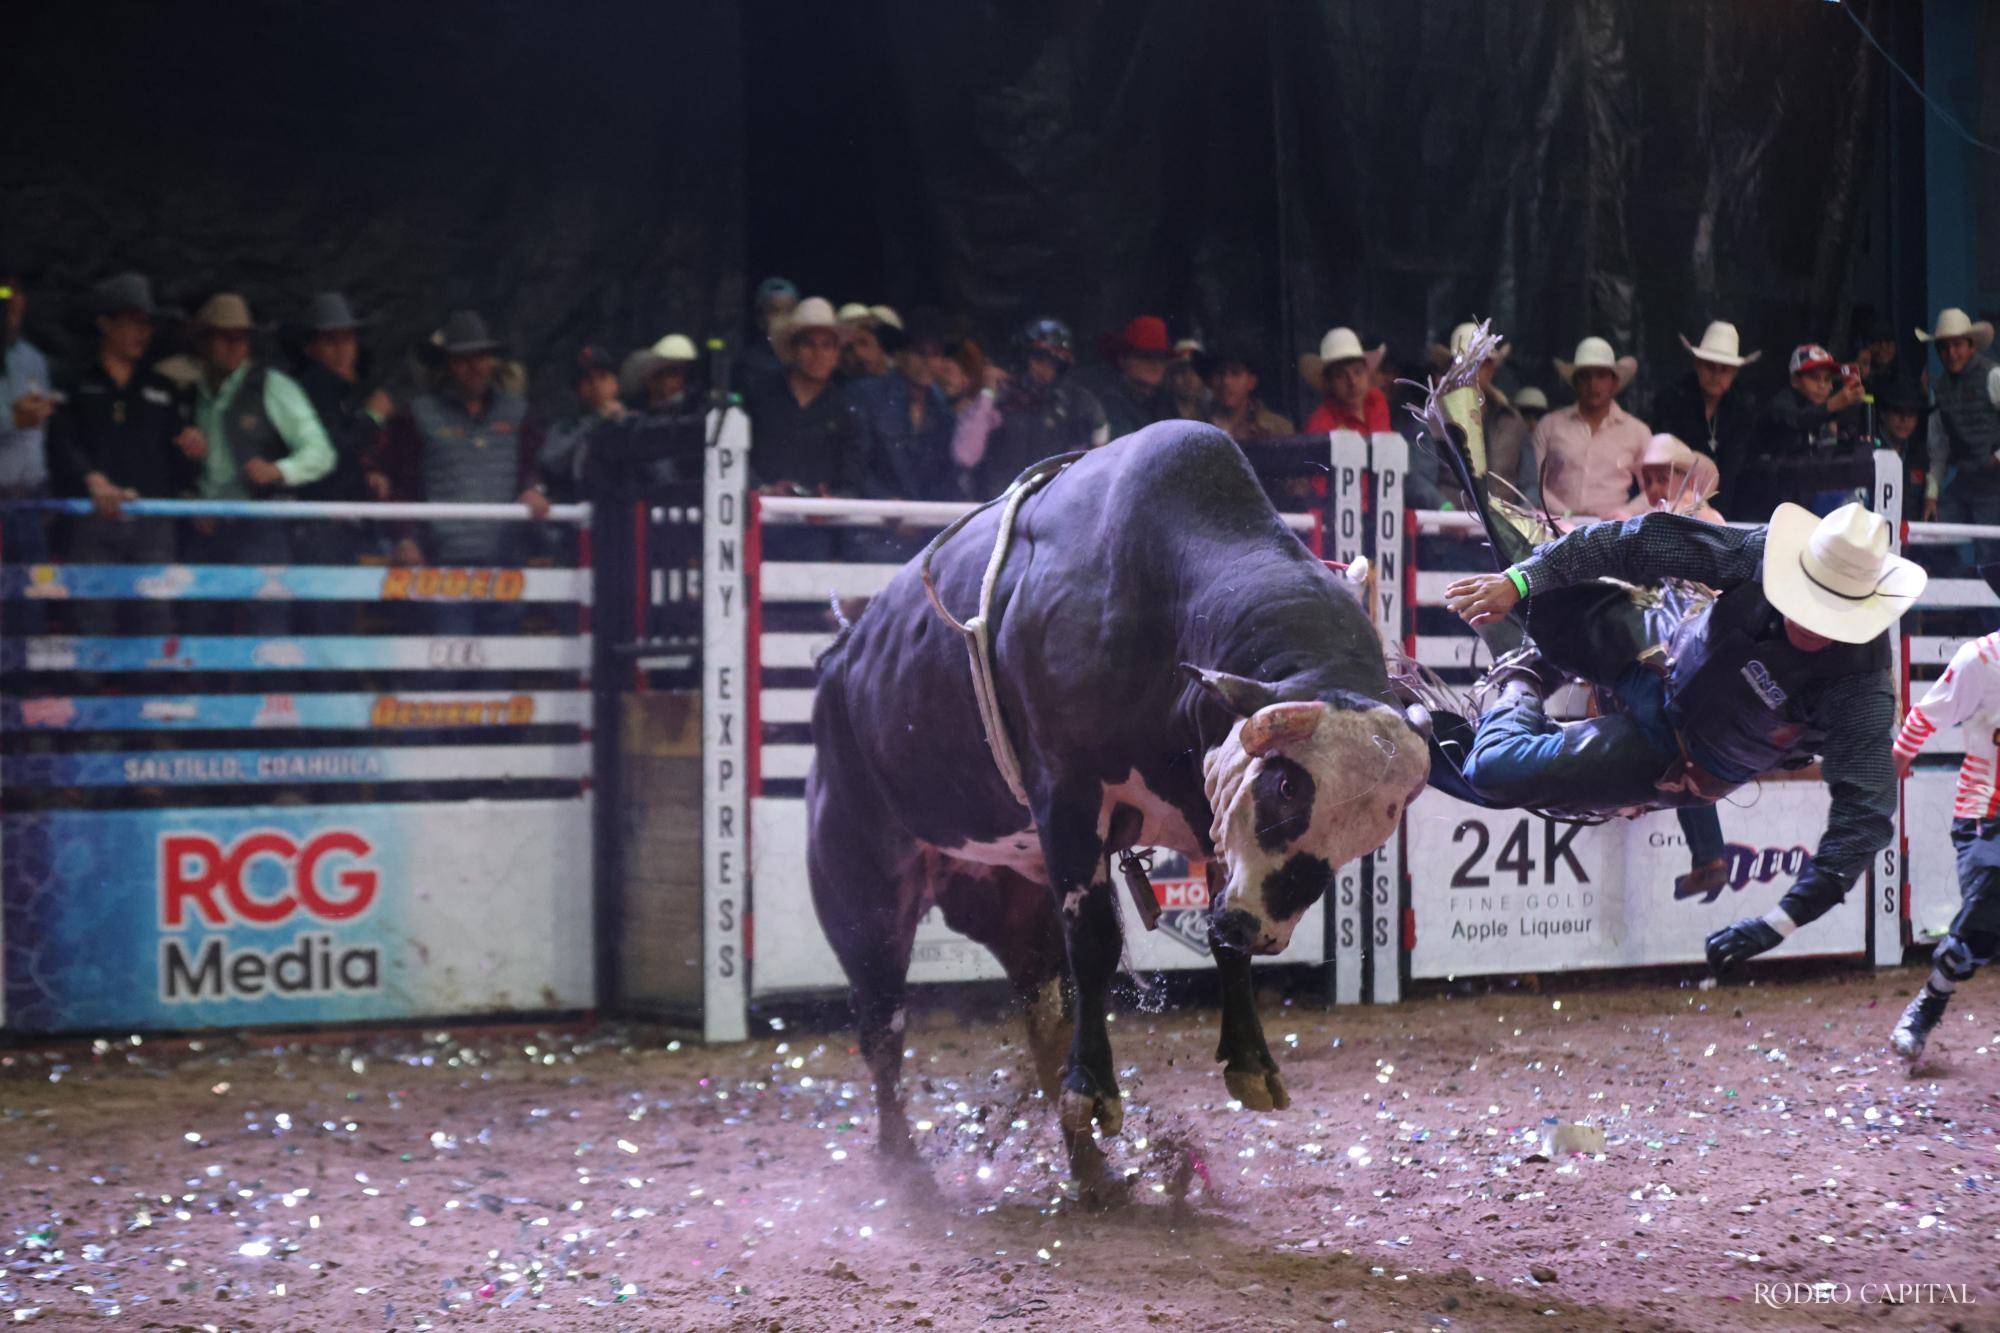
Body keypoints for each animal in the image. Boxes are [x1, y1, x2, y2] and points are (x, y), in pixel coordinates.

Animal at [804, 420, 1432, 1184]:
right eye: (1287, 784)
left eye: (1373, 827)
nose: (1257, 930)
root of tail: (842, 658)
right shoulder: (1069, 800)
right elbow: (1098, 940)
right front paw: (1097, 1090)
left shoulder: (1208, 817)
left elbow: (1210, 940)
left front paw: (1250, 1061)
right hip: (858, 889)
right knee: (883, 1020)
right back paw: (905, 1164)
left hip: (1011, 898)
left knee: (1040, 1009)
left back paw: (1090, 1169)